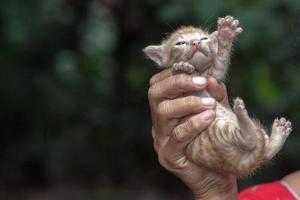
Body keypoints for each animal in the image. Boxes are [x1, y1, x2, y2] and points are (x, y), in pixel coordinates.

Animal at [144, 16, 292, 177]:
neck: (198, 71)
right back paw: (242, 113)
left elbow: (220, 62)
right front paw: (181, 67)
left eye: (203, 38)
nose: (196, 43)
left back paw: (277, 132)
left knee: (264, 151)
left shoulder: (213, 76)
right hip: (220, 131)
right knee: (250, 141)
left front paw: (226, 34)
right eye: (180, 43)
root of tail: (239, 166)